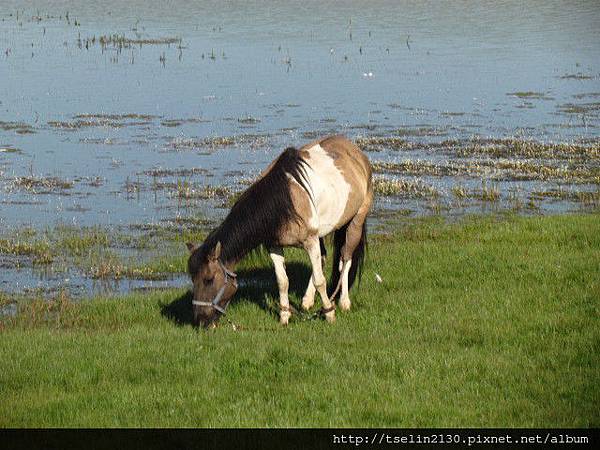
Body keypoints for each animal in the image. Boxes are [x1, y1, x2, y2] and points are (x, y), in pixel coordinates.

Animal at [186, 134, 376, 326]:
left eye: (209, 279)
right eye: (193, 279)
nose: (200, 321)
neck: (284, 203)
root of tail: (356, 152)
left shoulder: (310, 241)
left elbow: (320, 280)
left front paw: (329, 314)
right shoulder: (275, 246)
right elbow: (283, 281)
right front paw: (284, 316)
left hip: (355, 221)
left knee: (345, 259)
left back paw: (344, 302)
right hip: (321, 234)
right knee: (322, 260)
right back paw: (307, 301)